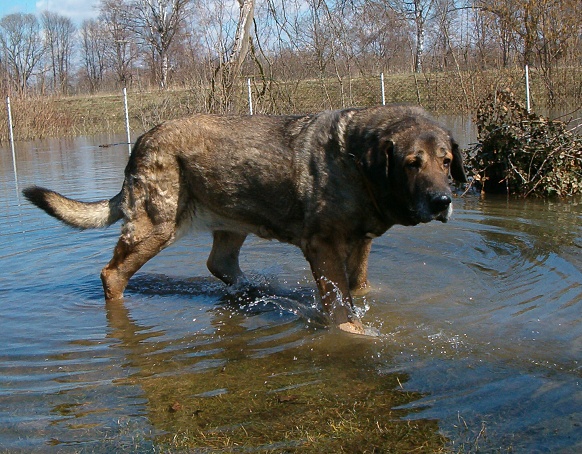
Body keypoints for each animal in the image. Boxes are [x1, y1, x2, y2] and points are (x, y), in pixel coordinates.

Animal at [24, 105, 470, 334]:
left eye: (447, 161)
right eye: (412, 164)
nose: (441, 201)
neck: (358, 162)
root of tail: (141, 141)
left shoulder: (361, 243)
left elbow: (358, 288)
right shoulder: (323, 246)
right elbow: (340, 306)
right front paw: (354, 335)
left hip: (231, 221)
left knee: (219, 264)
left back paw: (256, 293)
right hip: (156, 226)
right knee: (112, 273)